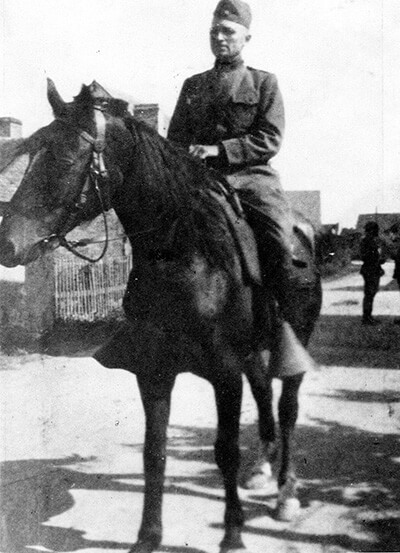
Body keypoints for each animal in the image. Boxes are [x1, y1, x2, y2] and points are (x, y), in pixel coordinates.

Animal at [0, 80, 320, 552]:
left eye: (63, 158)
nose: (8, 244)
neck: (185, 253)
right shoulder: (154, 371)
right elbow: (155, 453)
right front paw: (148, 536)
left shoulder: (224, 372)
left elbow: (225, 450)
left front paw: (233, 535)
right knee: (264, 392)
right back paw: (262, 471)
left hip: (291, 342)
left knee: (287, 408)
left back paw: (286, 494)